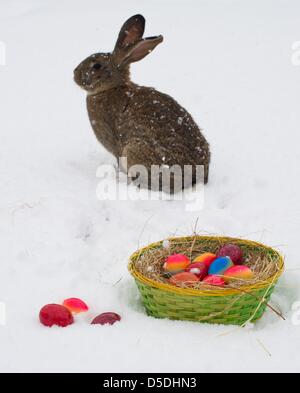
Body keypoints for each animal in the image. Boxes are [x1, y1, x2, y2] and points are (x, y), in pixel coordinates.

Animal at [74, 14, 210, 191]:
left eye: (97, 65)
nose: (74, 74)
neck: (112, 87)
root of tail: (194, 177)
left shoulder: (115, 144)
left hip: (134, 152)